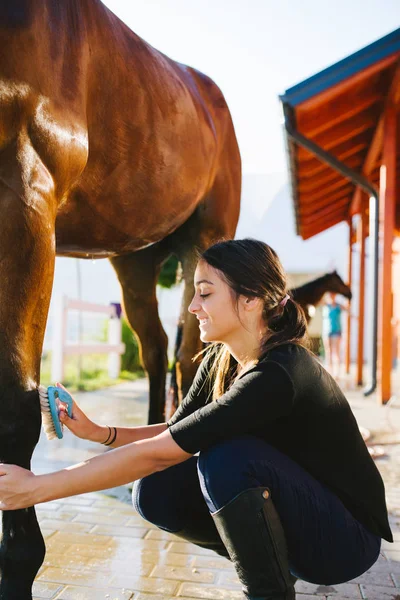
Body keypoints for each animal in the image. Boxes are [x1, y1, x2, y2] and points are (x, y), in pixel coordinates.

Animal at [0, 2, 241, 596]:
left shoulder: (25, 189)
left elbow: (15, 403)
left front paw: (18, 562)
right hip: (134, 261)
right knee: (155, 349)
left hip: (205, 243)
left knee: (187, 357)